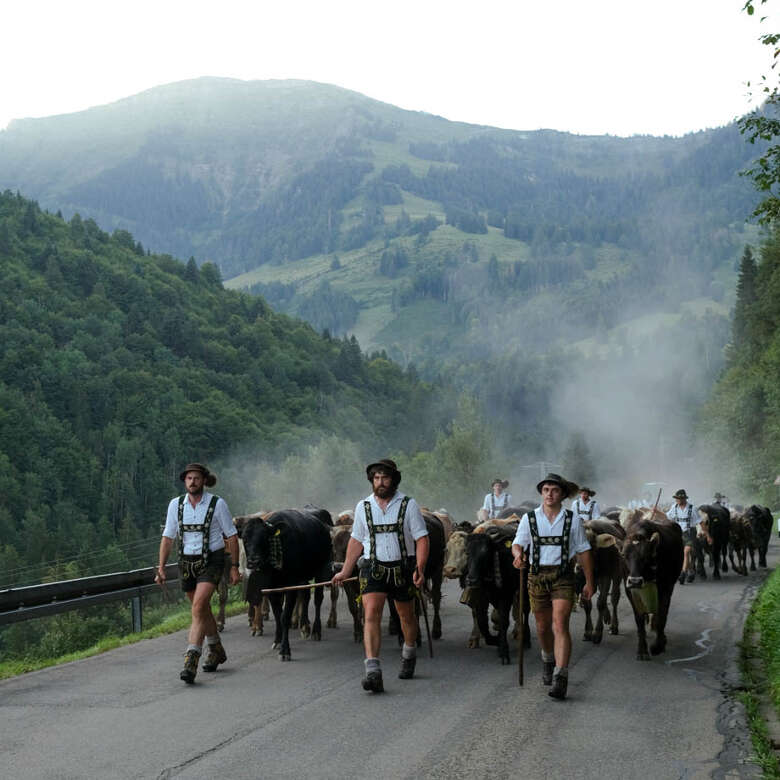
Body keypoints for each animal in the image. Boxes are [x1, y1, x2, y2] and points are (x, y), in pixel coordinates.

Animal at [241, 508, 332, 660]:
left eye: (263, 538)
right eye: (244, 538)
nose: (254, 561)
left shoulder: (291, 585)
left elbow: (285, 617)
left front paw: (285, 650)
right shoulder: (271, 588)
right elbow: (278, 615)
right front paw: (277, 641)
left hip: (322, 569)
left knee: (318, 600)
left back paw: (316, 630)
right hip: (303, 577)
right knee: (306, 595)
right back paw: (304, 627)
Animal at [620, 516, 684, 660]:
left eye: (645, 557)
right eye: (624, 556)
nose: (635, 581)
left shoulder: (664, 587)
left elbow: (661, 616)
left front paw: (657, 646)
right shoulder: (630, 591)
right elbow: (639, 619)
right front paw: (642, 650)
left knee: (661, 613)